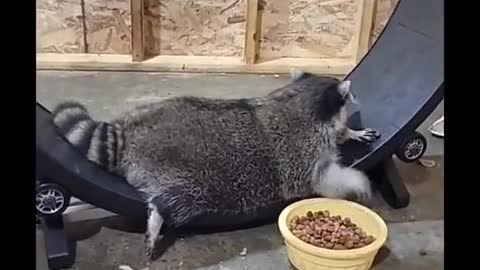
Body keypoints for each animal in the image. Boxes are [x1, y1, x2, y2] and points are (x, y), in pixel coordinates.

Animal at [52, 71, 380, 258]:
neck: (299, 98)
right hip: (185, 177)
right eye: (349, 94)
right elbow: (326, 180)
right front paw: (358, 180)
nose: (357, 96)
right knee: (175, 200)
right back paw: (158, 215)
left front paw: (350, 132)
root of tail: (132, 131)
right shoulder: (306, 154)